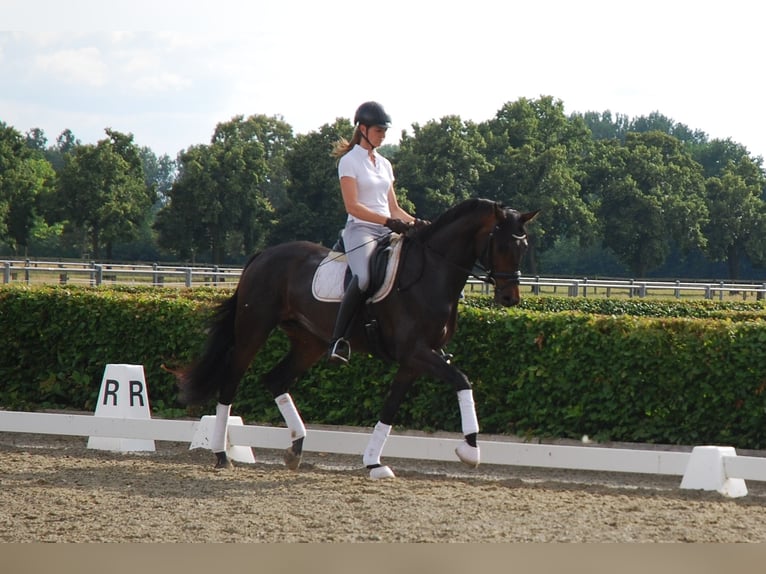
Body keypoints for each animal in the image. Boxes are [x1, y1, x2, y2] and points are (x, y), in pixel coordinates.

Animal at [172, 198, 540, 482]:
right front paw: (470, 449)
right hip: (255, 329)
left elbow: (390, 409)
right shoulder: (417, 352)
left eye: (524, 246)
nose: (510, 298)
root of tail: (263, 255)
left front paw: (374, 463)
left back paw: (295, 448)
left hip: (309, 342)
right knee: (231, 380)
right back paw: (222, 454)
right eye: (502, 244)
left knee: (275, 379)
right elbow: (463, 380)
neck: (433, 273)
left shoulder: (414, 360)